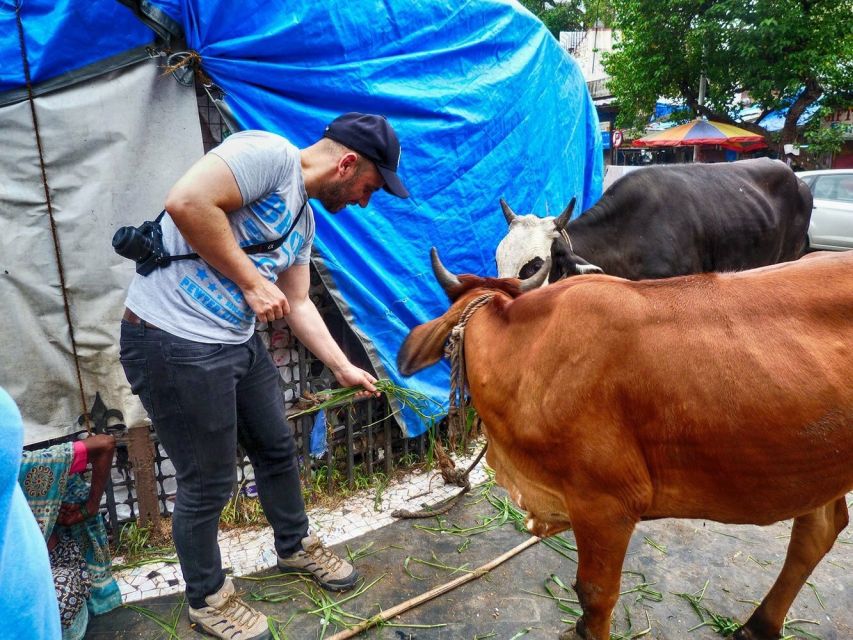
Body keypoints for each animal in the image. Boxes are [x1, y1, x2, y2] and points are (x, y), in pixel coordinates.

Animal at [400, 249, 852, 640]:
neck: (528, 356)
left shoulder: (606, 504)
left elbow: (596, 594)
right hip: (820, 468)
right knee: (818, 531)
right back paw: (759, 626)